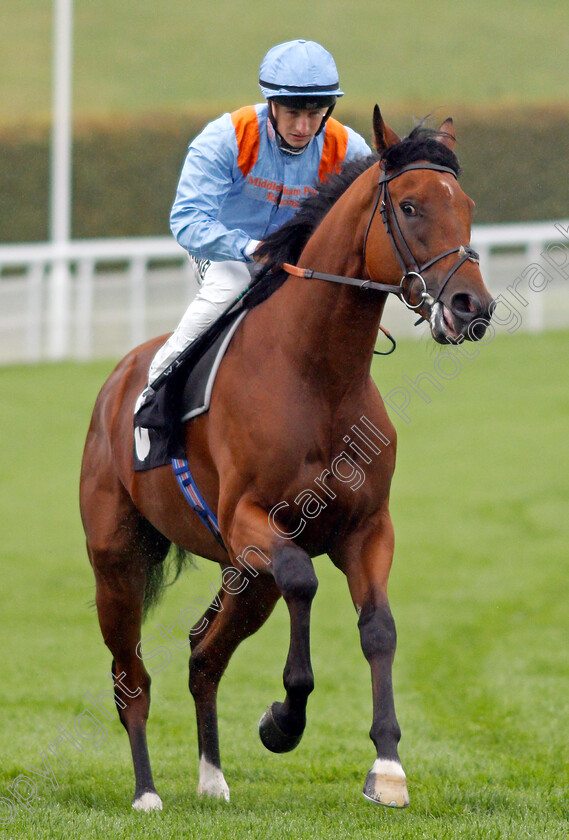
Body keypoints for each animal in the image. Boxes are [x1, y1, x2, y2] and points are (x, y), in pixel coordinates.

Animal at [79, 106, 492, 812]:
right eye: (410, 206)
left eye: (464, 205)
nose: (473, 307)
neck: (317, 375)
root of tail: (118, 378)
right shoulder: (252, 522)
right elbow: (305, 581)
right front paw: (283, 721)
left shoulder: (366, 529)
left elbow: (379, 628)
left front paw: (387, 767)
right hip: (119, 563)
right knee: (130, 674)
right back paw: (146, 792)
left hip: (247, 577)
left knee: (203, 653)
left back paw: (212, 777)